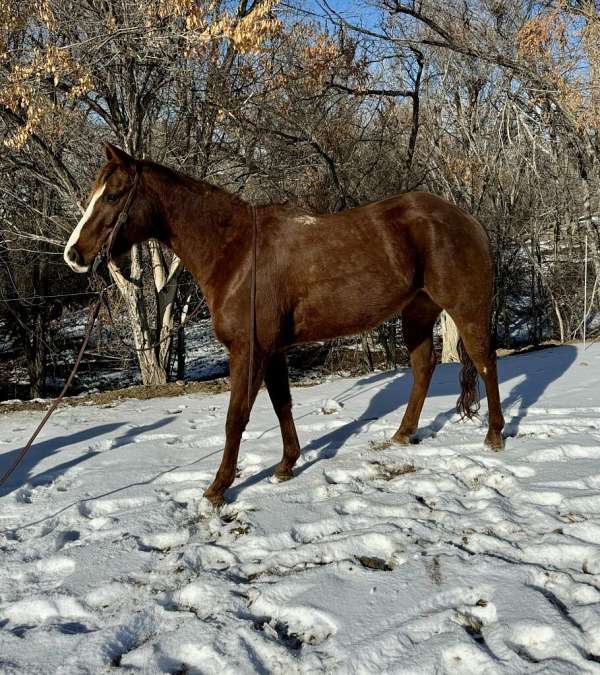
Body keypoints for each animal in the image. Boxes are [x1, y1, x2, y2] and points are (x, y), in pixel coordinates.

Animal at [63, 143, 504, 504]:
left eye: (114, 194)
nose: (74, 254)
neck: (238, 253)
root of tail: (466, 219)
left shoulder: (249, 352)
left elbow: (236, 417)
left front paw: (218, 488)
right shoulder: (272, 350)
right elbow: (281, 404)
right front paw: (286, 465)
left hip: (465, 309)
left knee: (485, 362)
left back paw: (495, 435)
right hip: (417, 312)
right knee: (423, 367)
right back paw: (402, 435)